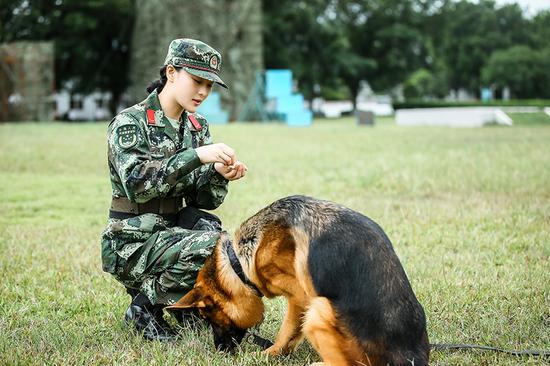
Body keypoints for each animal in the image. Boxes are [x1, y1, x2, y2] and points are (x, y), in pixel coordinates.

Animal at [166, 196, 434, 364]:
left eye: (207, 316)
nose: (219, 351)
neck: (239, 262)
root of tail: (412, 356)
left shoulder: (300, 298)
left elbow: (288, 331)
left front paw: (269, 354)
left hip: (319, 309)